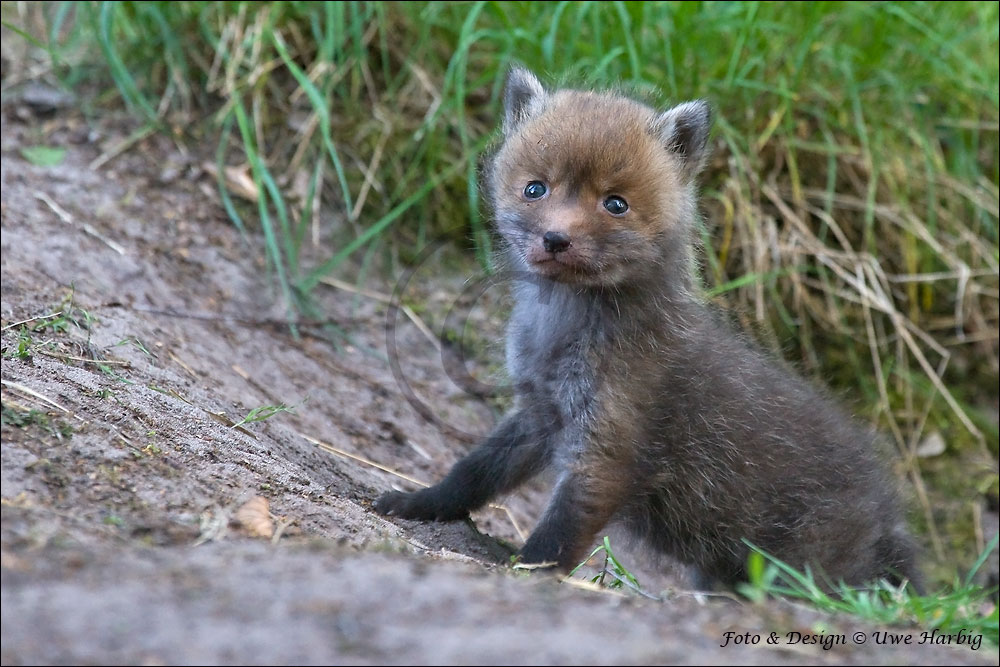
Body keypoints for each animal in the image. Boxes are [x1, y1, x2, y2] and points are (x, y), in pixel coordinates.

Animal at [375, 67, 922, 591]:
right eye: (535, 188)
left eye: (615, 204)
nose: (556, 238)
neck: (561, 329)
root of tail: (887, 516)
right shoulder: (536, 414)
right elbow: (472, 473)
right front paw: (420, 502)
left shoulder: (608, 447)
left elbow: (559, 532)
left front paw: (525, 571)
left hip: (798, 570)